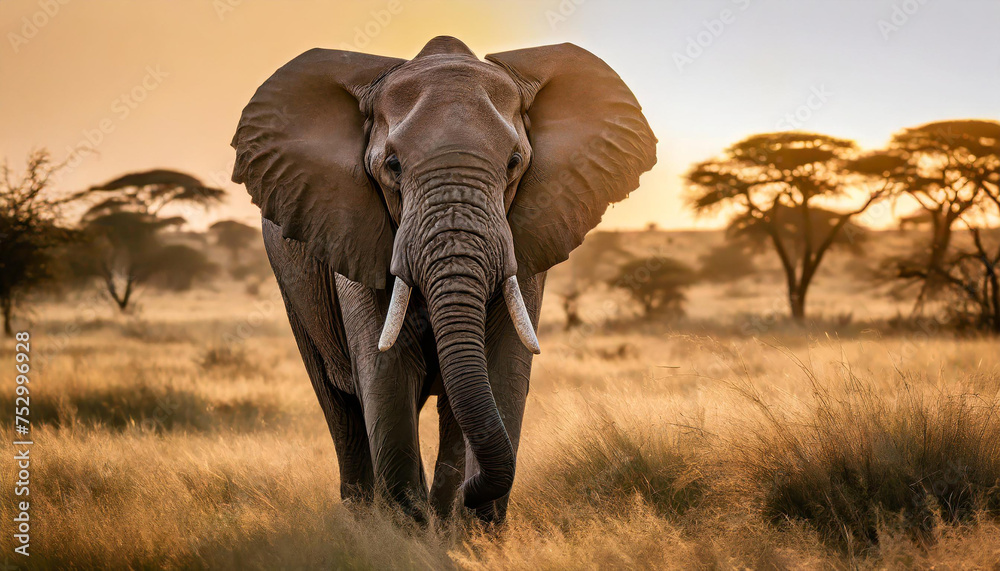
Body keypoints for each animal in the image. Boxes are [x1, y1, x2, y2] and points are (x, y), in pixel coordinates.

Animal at [230, 36, 656, 523]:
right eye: (392, 165)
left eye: (514, 163)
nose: (472, 493)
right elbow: (387, 374)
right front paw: (410, 528)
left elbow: (502, 367)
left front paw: (463, 525)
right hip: (293, 289)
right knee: (340, 407)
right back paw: (363, 519)